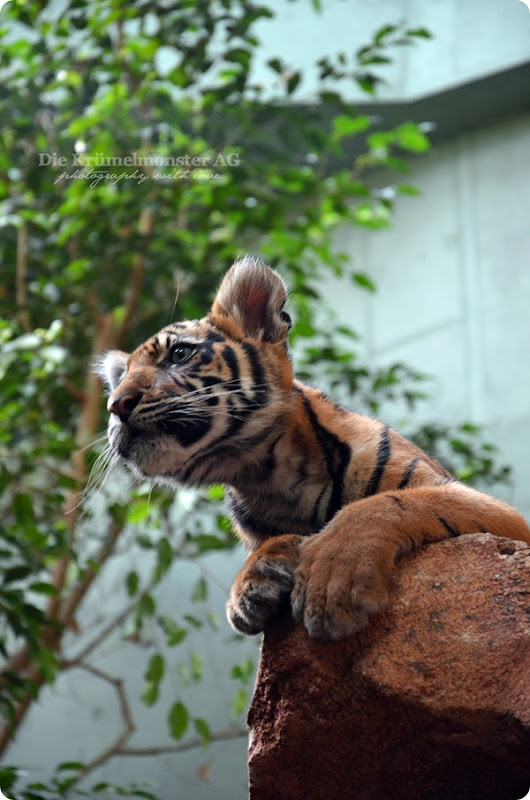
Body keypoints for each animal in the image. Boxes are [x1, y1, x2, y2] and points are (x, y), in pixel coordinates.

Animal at [97, 253, 528, 640]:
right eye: (120, 380)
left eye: (179, 354)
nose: (116, 405)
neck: (268, 473)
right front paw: (252, 583)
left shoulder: (491, 510)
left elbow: (385, 505)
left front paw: (333, 579)